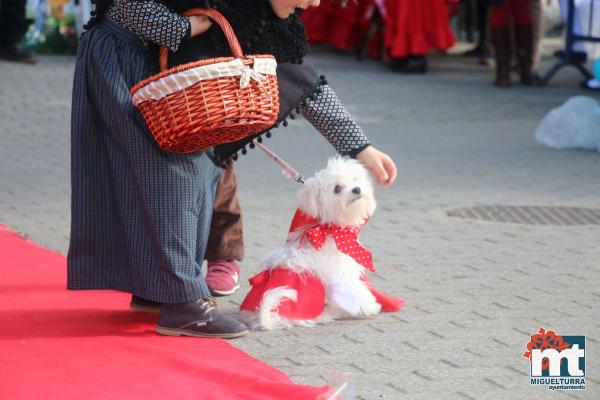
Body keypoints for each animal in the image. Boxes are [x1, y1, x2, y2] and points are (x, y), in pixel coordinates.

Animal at [239, 158, 404, 330]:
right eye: (337, 189)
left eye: (355, 179)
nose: (357, 189)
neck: (331, 229)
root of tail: (264, 318)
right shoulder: (339, 273)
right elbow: (357, 289)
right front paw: (370, 305)